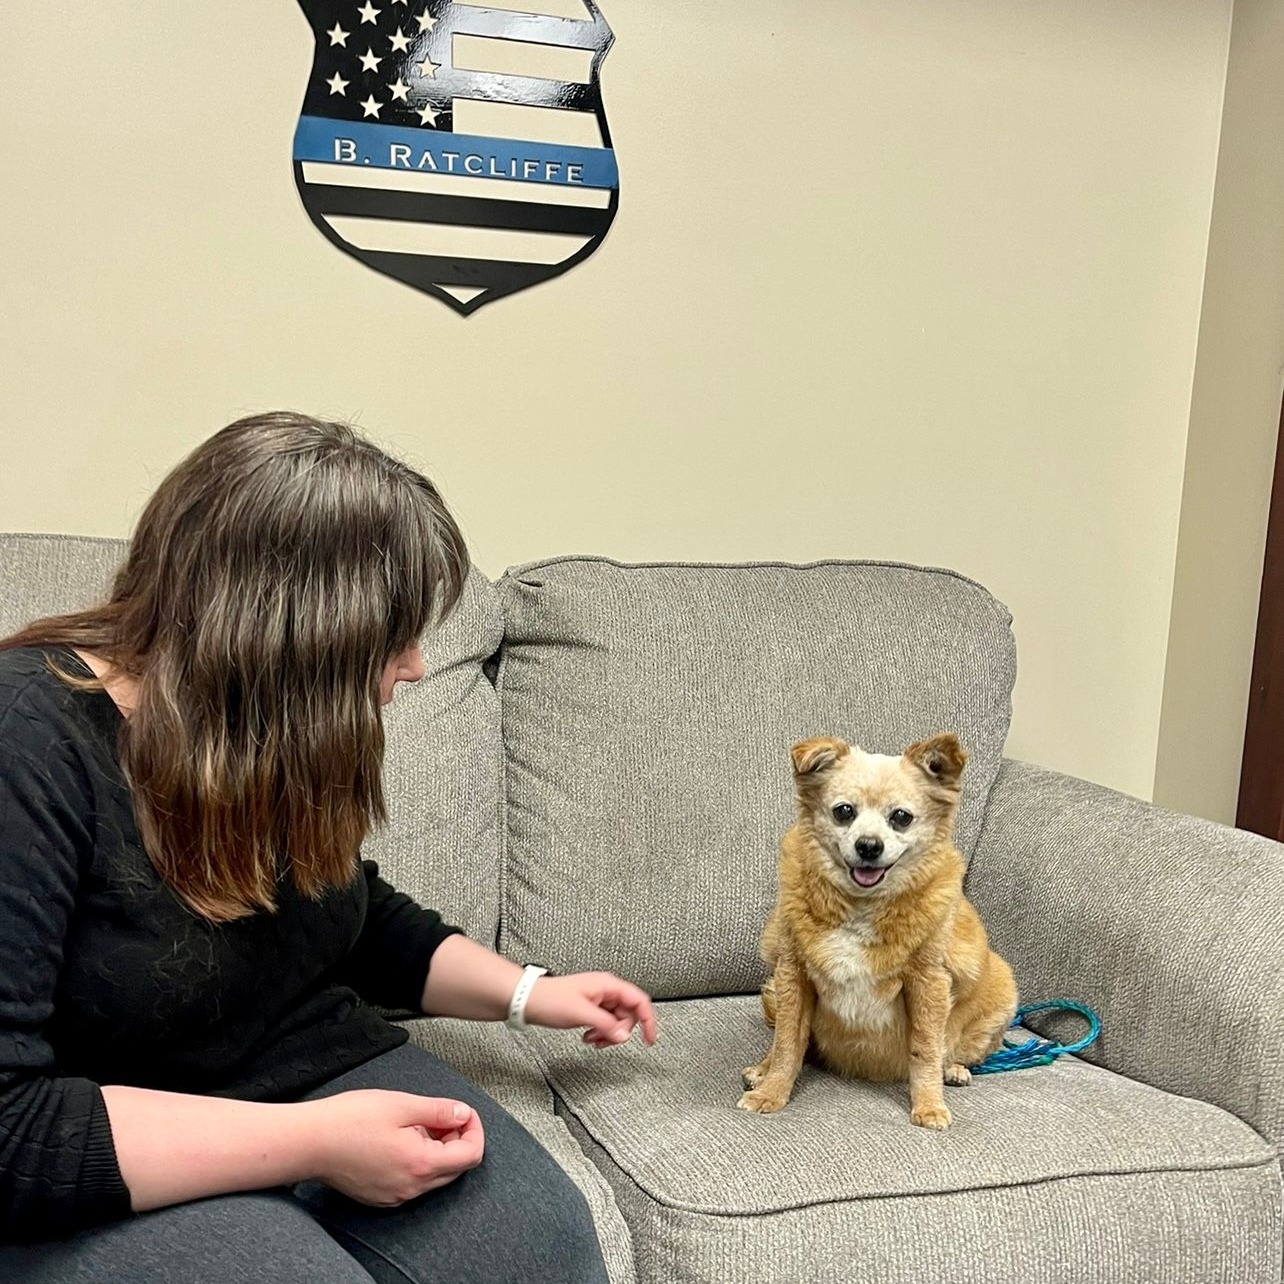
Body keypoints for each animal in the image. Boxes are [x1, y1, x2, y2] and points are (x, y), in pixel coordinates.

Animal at [739, 739, 1016, 1129]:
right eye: (844, 812)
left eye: (901, 817)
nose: (869, 845)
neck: (861, 906)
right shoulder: (793, 975)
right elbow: (787, 1043)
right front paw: (771, 1092)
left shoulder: (928, 982)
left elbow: (925, 1049)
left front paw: (929, 1104)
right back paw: (761, 1071)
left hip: (1001, 996)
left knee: (954, 1051)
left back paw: (954, 1069)